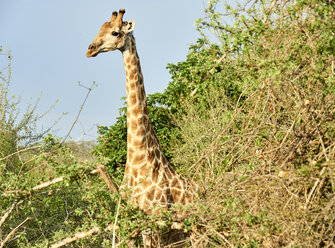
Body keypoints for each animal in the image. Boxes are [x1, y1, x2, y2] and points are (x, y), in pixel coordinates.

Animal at [87, 8, 197, 247]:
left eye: (116, 32)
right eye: (99, 29)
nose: (90, 49)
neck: (138, 160)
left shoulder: (153, 224)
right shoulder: (127, 225)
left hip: (194, 231)